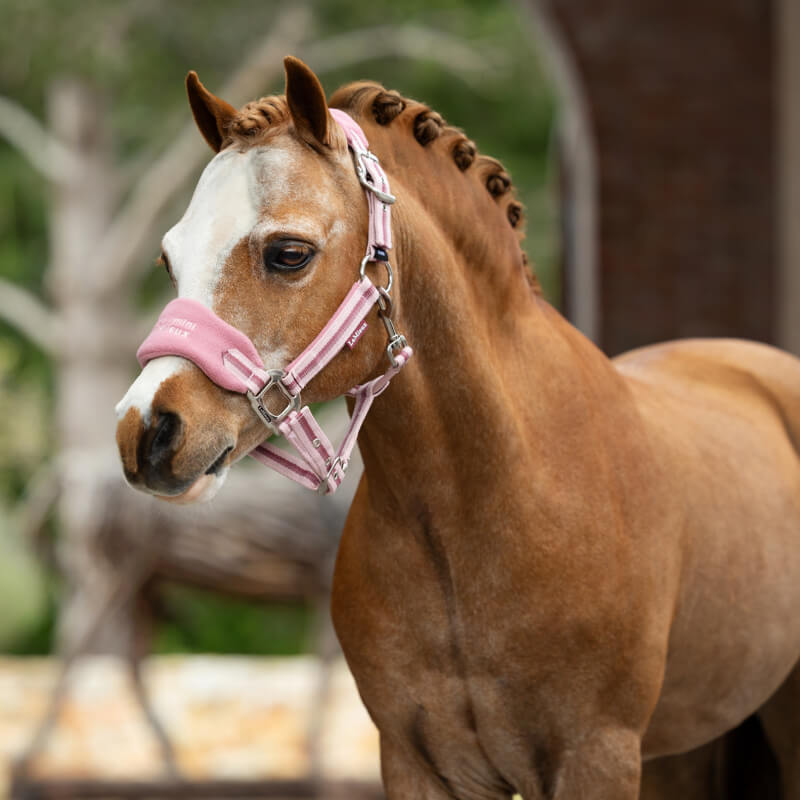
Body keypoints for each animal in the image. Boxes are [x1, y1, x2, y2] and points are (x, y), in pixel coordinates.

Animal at [114, 59, 800, 796]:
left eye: (289, 252)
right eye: (170, 260)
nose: (146, 432)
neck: (485, 507)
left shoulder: (598, 755)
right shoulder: (421, 761)